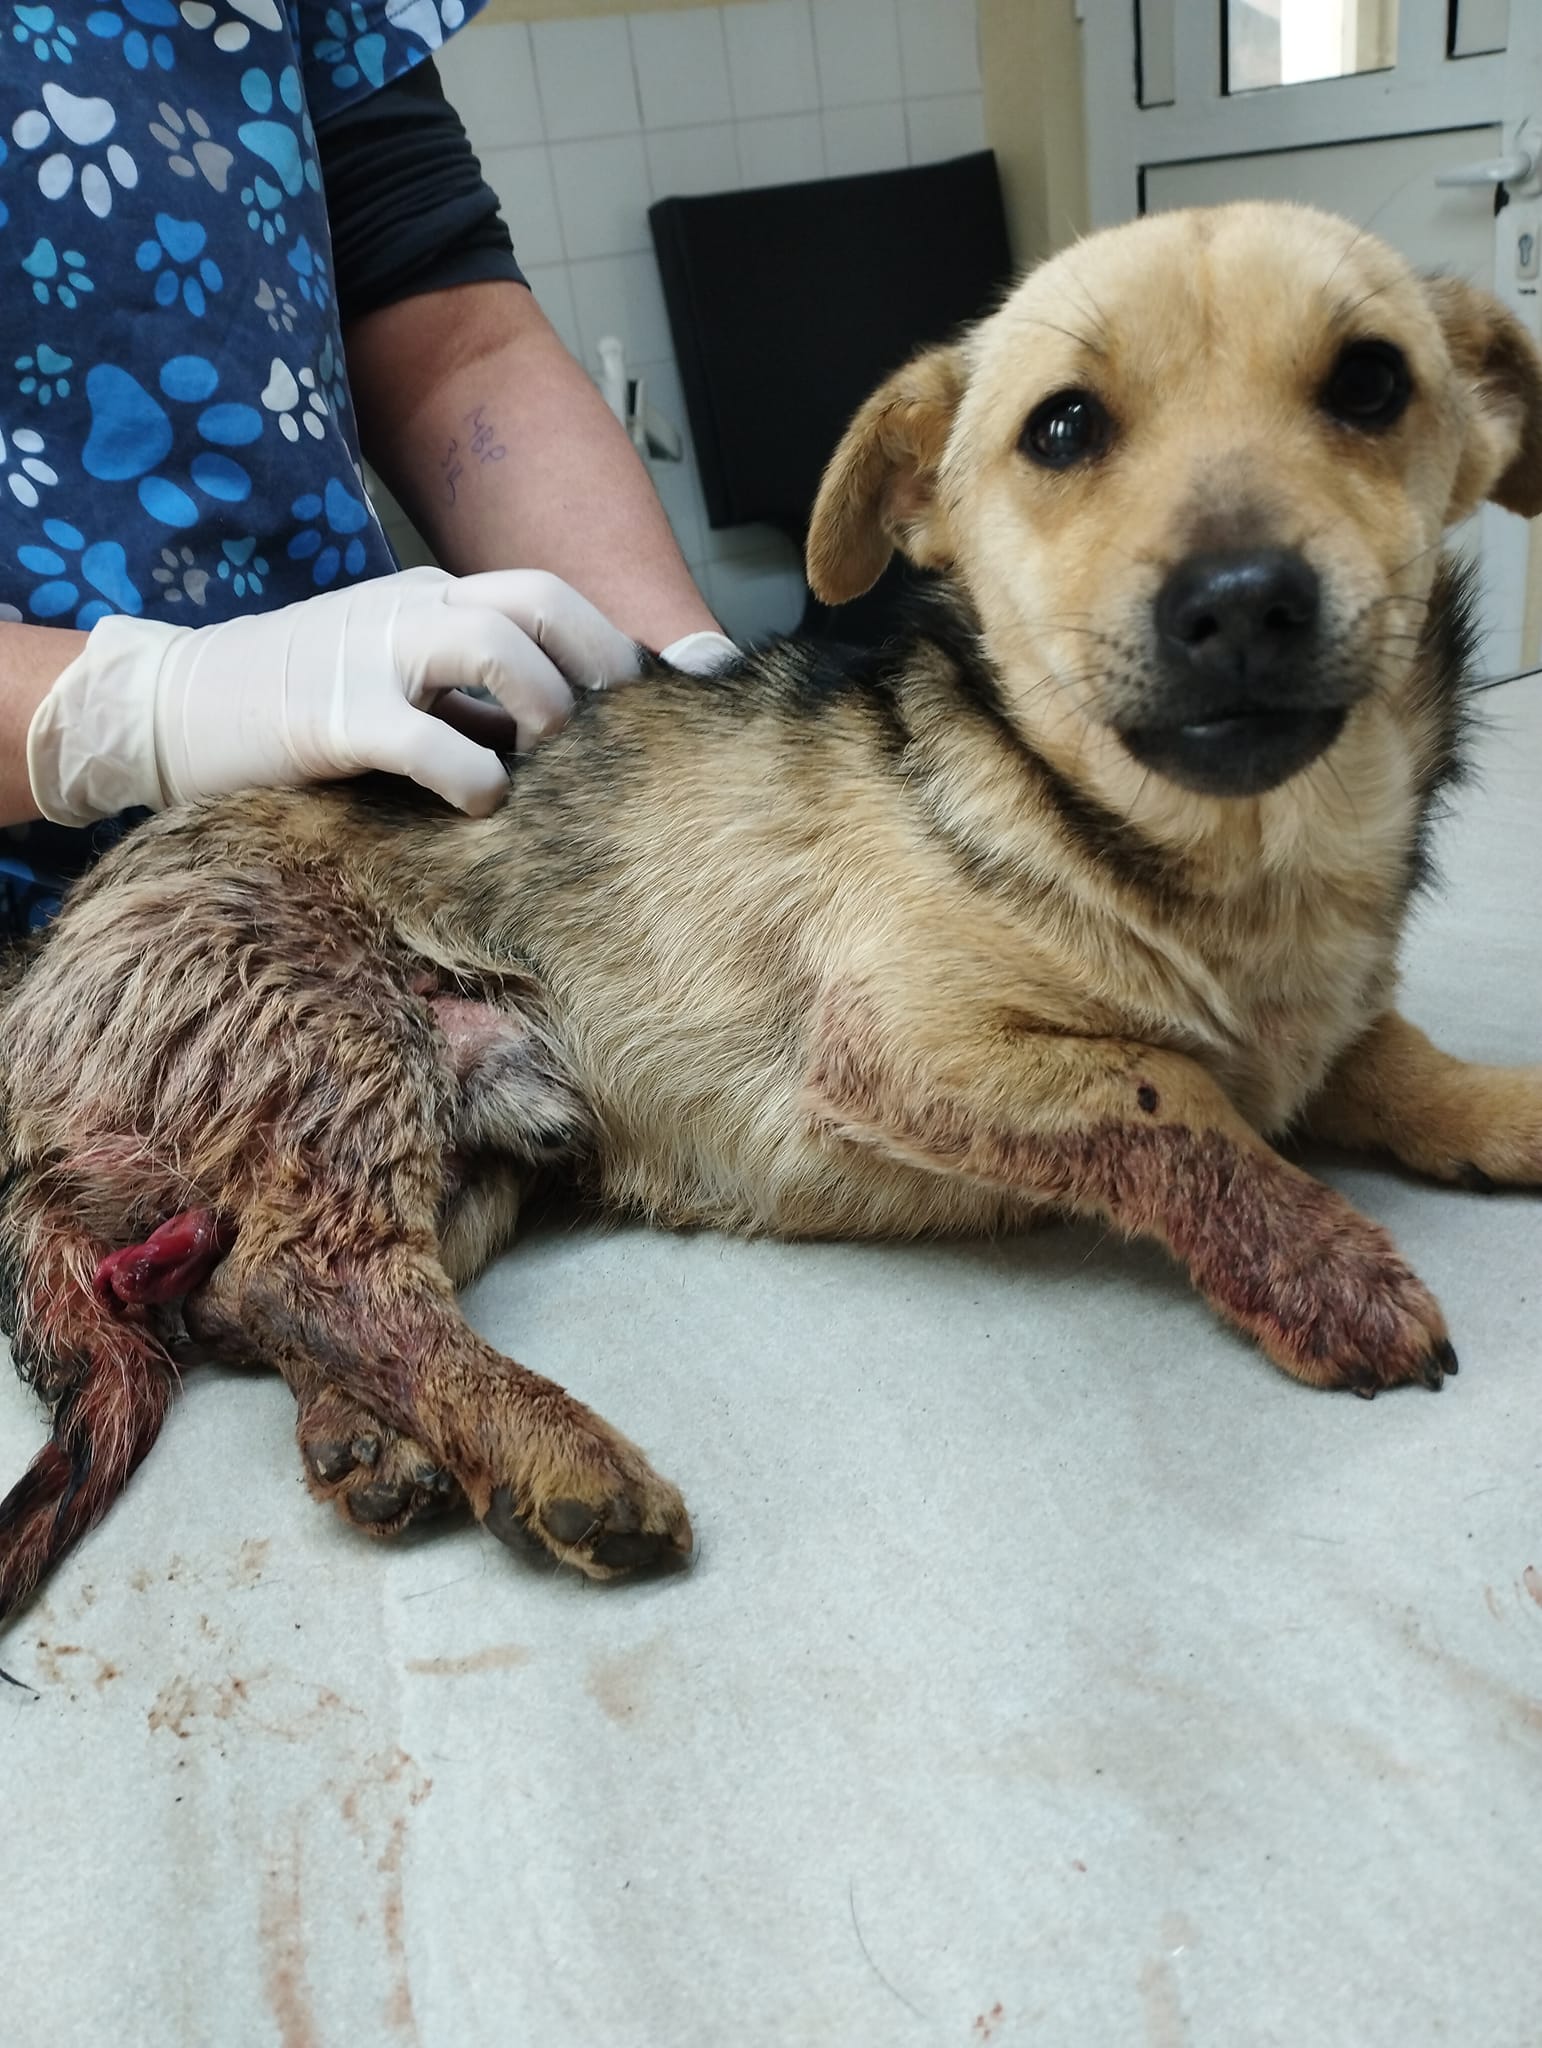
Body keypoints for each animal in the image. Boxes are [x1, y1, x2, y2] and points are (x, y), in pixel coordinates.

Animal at [2, 201, 1540, 1619]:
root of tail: (37, 1003)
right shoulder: (906, 1043)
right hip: (327, 1034)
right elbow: (1179, 1102)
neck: (1235, 858)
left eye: (1370, 384)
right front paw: (1327, 1265)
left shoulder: (1319, 1028)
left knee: (253, 1291)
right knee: (311, 1279)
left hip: (479, 1145)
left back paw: (371, 1436)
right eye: (1062, 428)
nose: (1239, 601)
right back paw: (554, 1453)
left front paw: (1500, 1109)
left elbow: (1393, 1060)